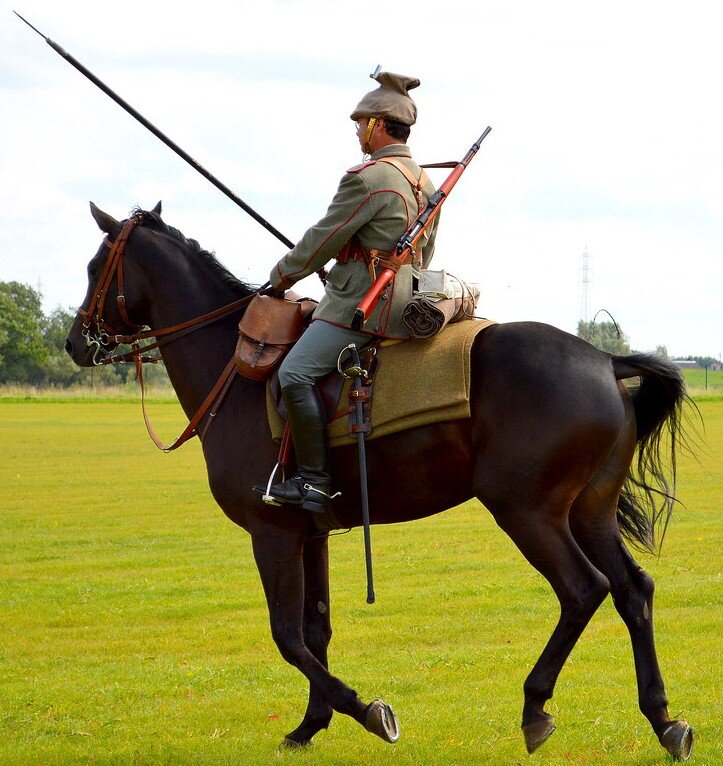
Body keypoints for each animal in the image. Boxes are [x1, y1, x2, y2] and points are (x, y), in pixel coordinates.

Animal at [66, 202, 696, 760]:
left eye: (96, 267)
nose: (75, 342)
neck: (237, 367)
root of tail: (605, 362)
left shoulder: (271, 533)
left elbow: (287, 635)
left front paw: (369, 712)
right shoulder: (309, 533)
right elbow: (315, 629)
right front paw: (309, 724)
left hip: (529, 513)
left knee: (584, 589)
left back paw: (535, 707)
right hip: (589, 511)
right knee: (633, 590)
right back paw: (664, 720)